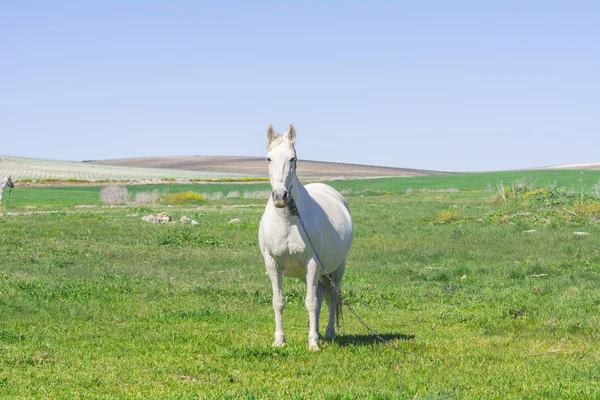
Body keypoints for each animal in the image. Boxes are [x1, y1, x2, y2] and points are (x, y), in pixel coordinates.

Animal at [258, 124, 352, 350]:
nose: (280, 197)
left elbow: (311, 302)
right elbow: (278, 302)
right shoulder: (272, 263)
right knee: (319, 294)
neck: (287, 222)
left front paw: (313, 344)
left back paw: (327, 333)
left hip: (336, 269)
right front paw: (279, 340)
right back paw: (315, 331)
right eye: (268, 158)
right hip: (308, 273)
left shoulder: (312, 262)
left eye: (293, 158)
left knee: (331, 297)